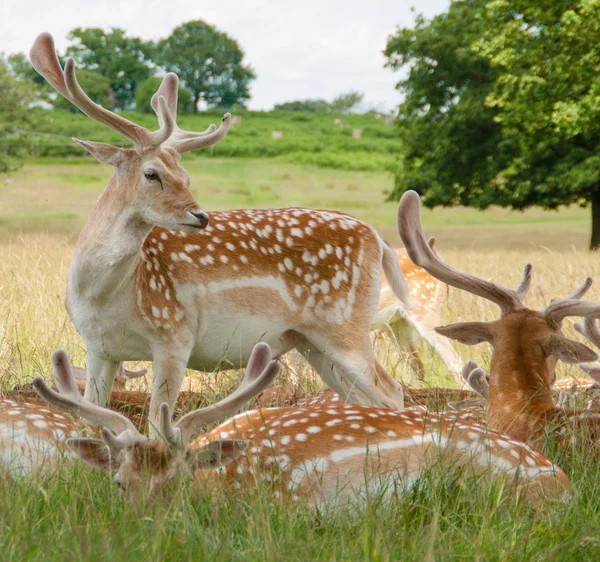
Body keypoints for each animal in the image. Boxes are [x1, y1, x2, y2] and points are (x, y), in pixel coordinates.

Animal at [31, 31, 408, 434]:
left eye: (186, 176)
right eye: (152, 173)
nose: (200, 216)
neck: (105, 294)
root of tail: (378, 239)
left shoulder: (175, 334)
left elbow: (158, 423)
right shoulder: (98, 348)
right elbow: (93, 415)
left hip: (345, 325)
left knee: (392, 392)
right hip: (310, 341)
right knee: (363, 397)